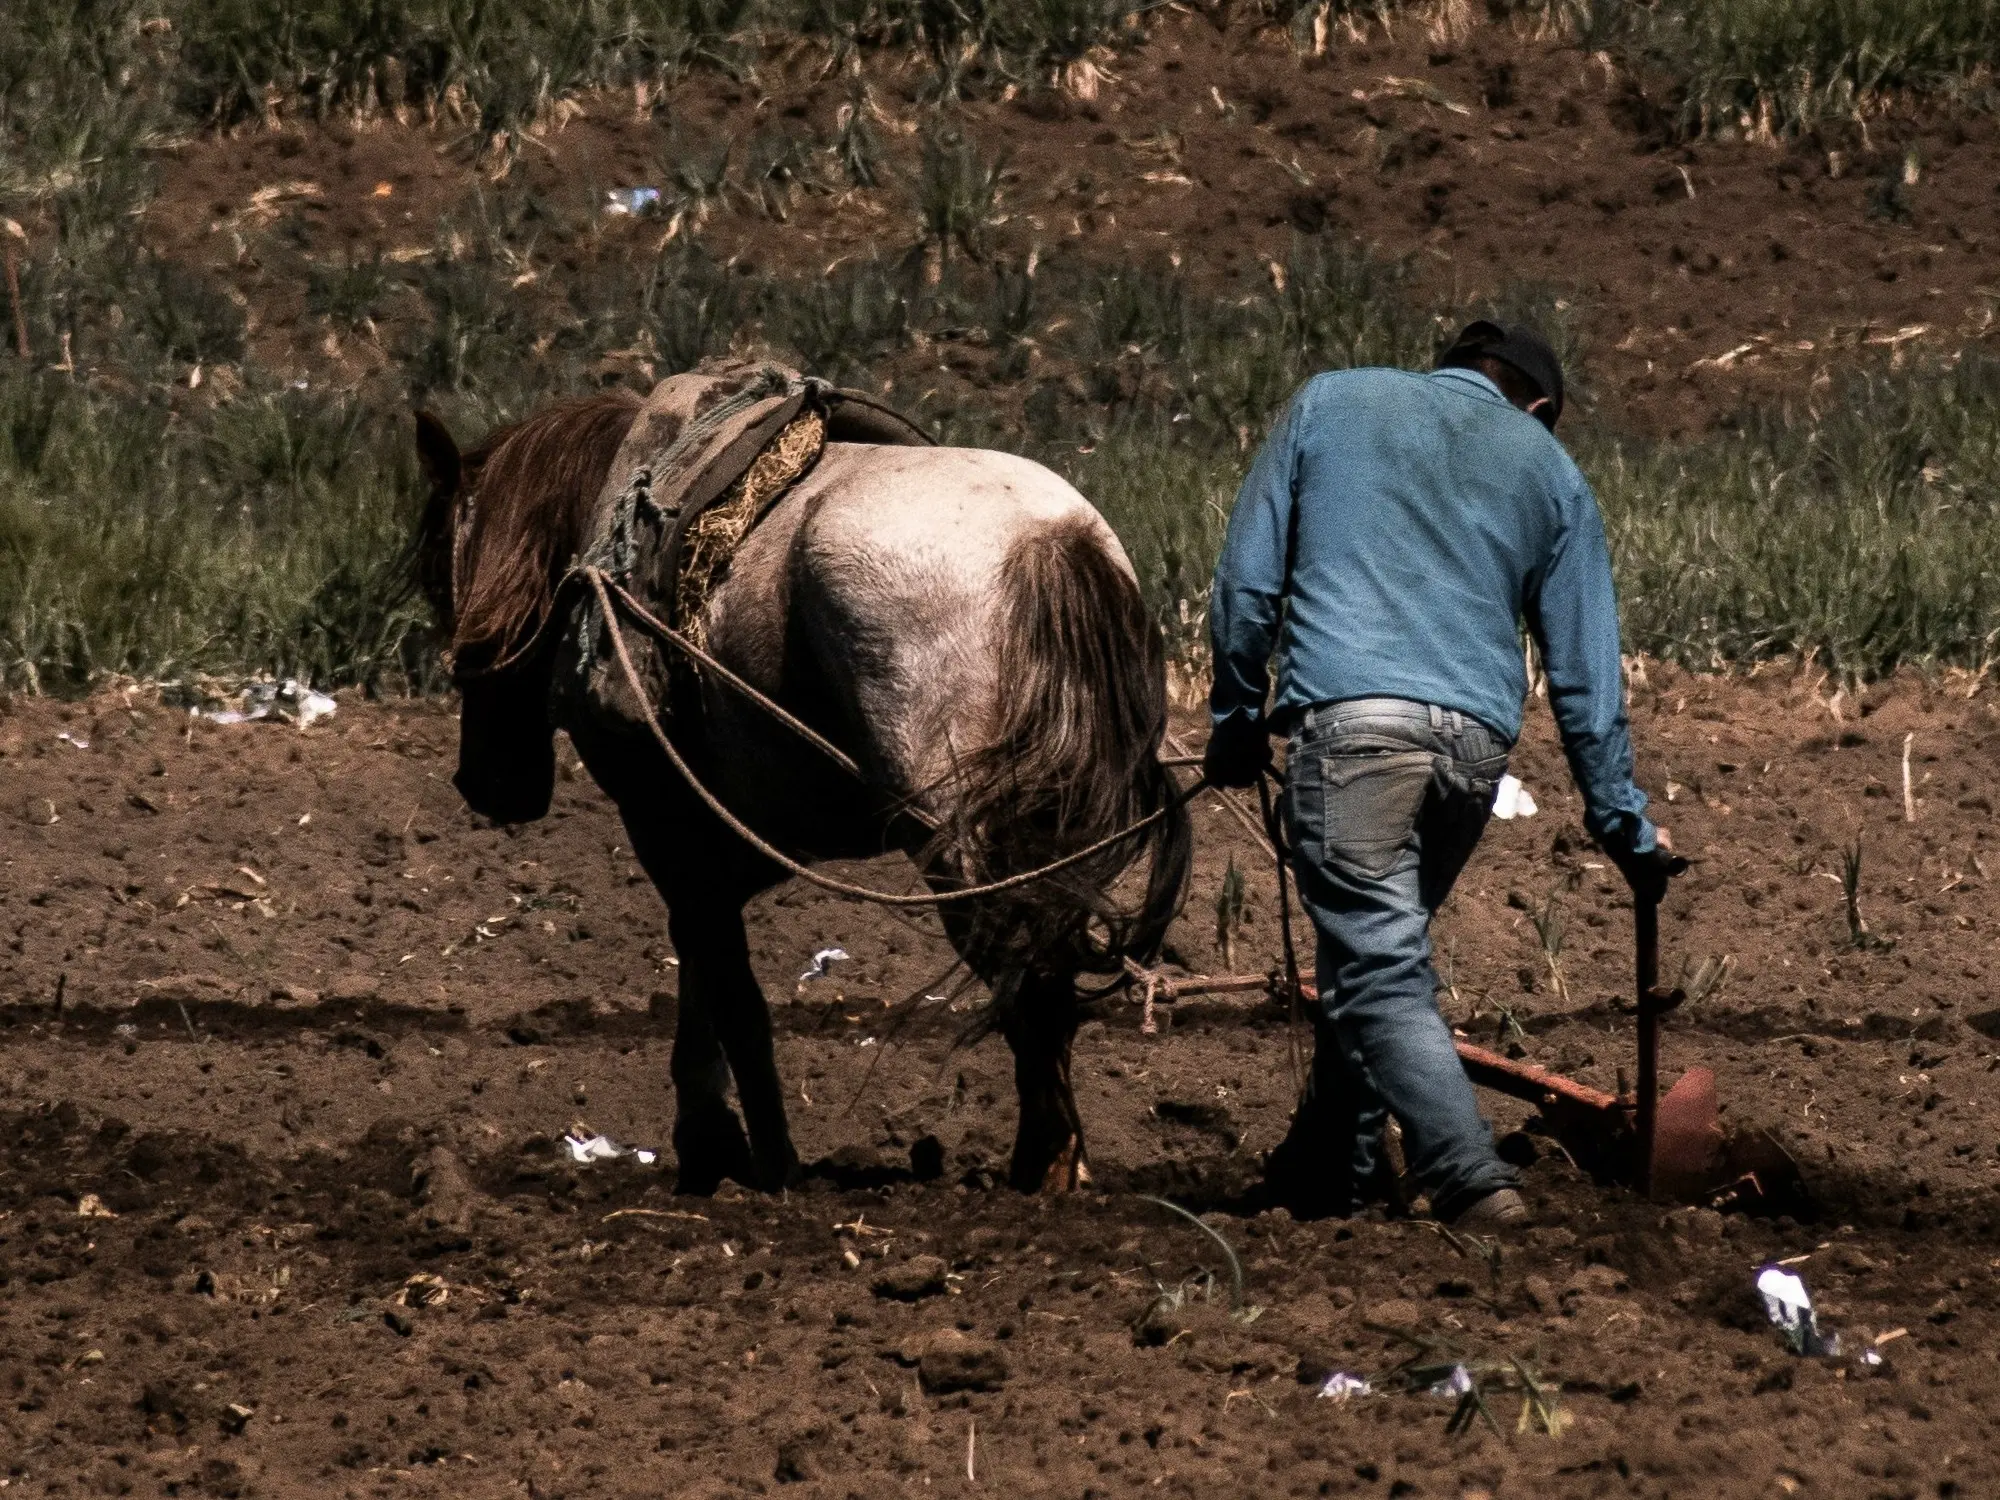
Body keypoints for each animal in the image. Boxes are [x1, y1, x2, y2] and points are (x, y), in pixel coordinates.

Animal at [410, 376, 1184, 1200]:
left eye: (437, 579)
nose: (486, 785)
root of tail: (1049, 540)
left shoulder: (665, 822)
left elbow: (729, 986)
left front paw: (760, 1159)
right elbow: (705, 970)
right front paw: (713, 1139)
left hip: (957, 842)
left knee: (1025, 967)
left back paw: (1043, 1163)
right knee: (1049, 969)